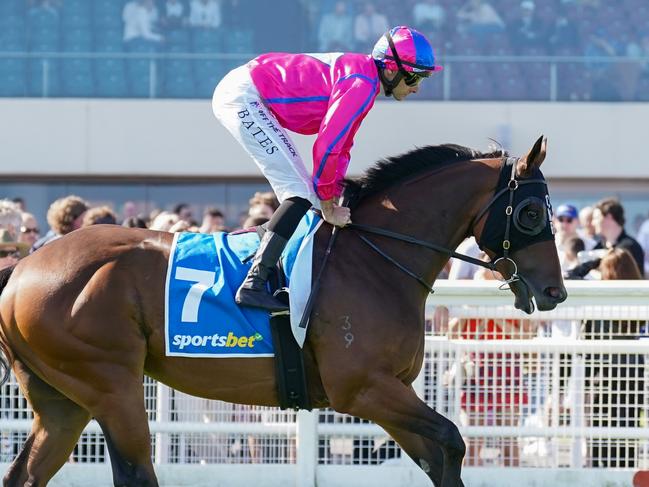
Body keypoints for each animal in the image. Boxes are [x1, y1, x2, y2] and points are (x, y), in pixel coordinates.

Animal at [0, 134, 564, 487]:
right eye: (531, 213)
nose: (555, 291)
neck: (373, 258)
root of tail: (22, 268)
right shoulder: (363, 389)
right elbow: (451, 440)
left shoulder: (392, 391)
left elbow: (441, 454)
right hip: (109, 384)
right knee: (136, 472)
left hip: (62, 399)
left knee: (27, 472)